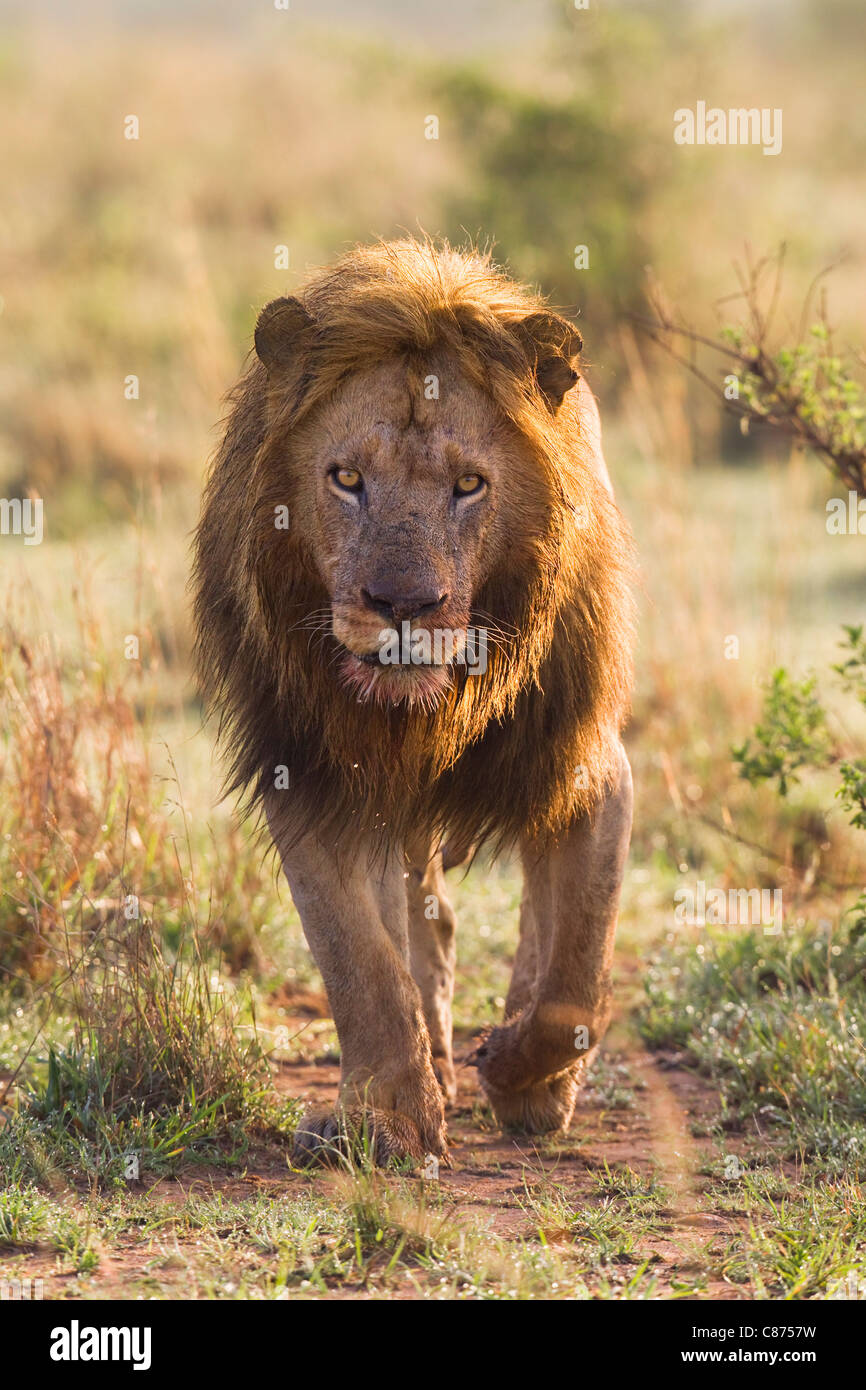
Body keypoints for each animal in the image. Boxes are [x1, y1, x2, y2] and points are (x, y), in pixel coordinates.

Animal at [192, 238, 635, 1165]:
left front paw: (519, 1074)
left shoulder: (586, 765)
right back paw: (432, 1059)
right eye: (346, 478)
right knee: (419, 922)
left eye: (469, 485)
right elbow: (360, 963)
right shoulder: (309, 776)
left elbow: (575, 971)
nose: (402, 603)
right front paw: (389, 1116)